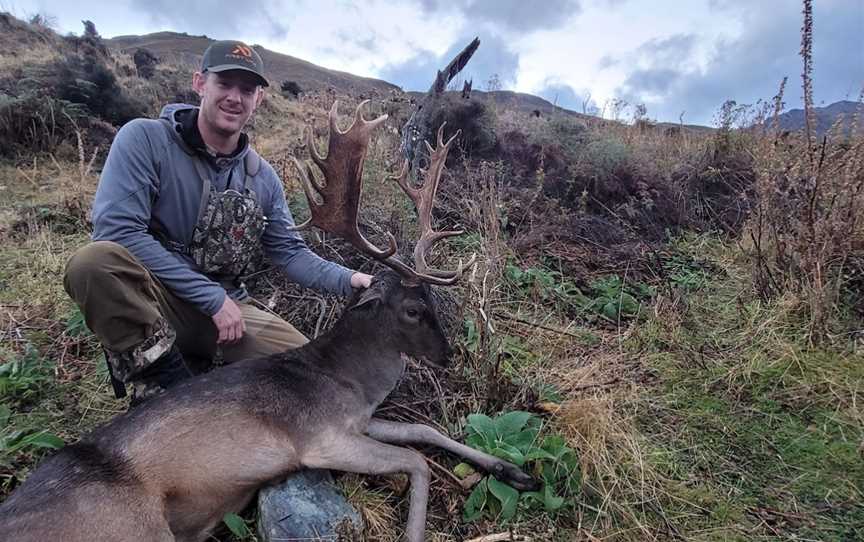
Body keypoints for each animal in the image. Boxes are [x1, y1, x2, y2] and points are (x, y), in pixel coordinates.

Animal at [0, 103, 536, 542]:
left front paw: (515, 471)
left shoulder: (359, 420)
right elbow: (419, 462)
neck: (348, 379)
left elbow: (427, 432)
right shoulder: (320, 437)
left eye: (430, 298)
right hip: (127, 526)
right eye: (412, 309)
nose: (448, 354)